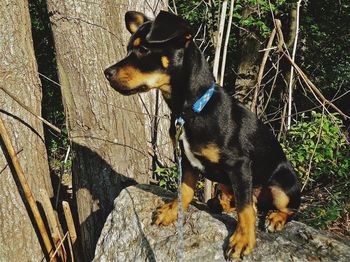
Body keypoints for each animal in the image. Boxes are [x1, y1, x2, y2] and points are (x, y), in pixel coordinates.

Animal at [104, 10, 300, 260]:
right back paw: (222, 204)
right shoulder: (186, 159)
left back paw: (275, 217)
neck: (190, 111)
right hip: (226, 182)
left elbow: (246, 209)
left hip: (282, 185)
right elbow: (185, 190)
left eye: (144, 49)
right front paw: (172, 211)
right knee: (245, 201)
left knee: (282, 206)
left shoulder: (239, 165)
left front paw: (243, 240)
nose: (106, 73)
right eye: (130, 48)